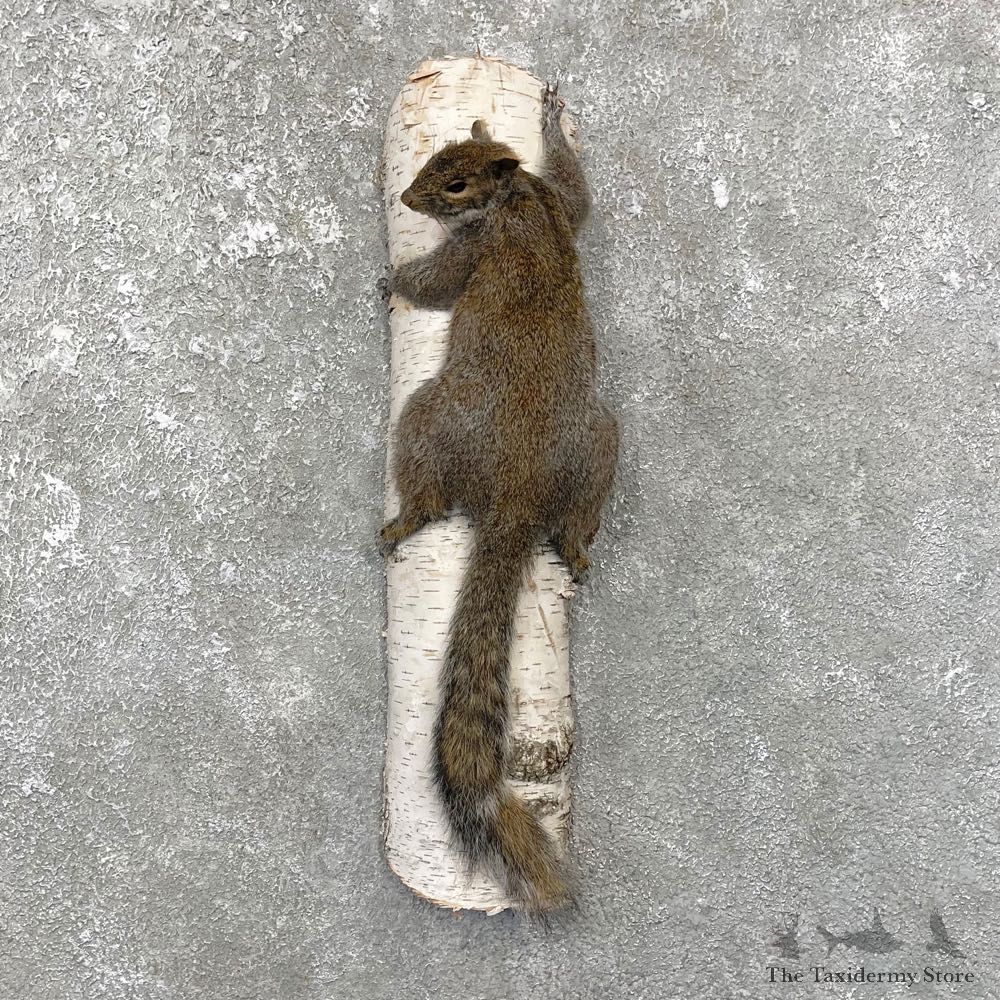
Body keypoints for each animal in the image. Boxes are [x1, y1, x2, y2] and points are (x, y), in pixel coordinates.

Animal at [380, 83, 619, 913]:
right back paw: (575, 545)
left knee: (426, 482)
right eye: (435, 155)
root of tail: (519, 495)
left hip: (429, 417)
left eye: (455, 184)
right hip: (600, 443)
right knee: (581, 516)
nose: (407, 198)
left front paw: (391, 280)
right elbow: (581, 196)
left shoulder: (473, 247)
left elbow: (436, 281)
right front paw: (547, 120)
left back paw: (406, 519)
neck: (514, 195)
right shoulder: (558, 201)